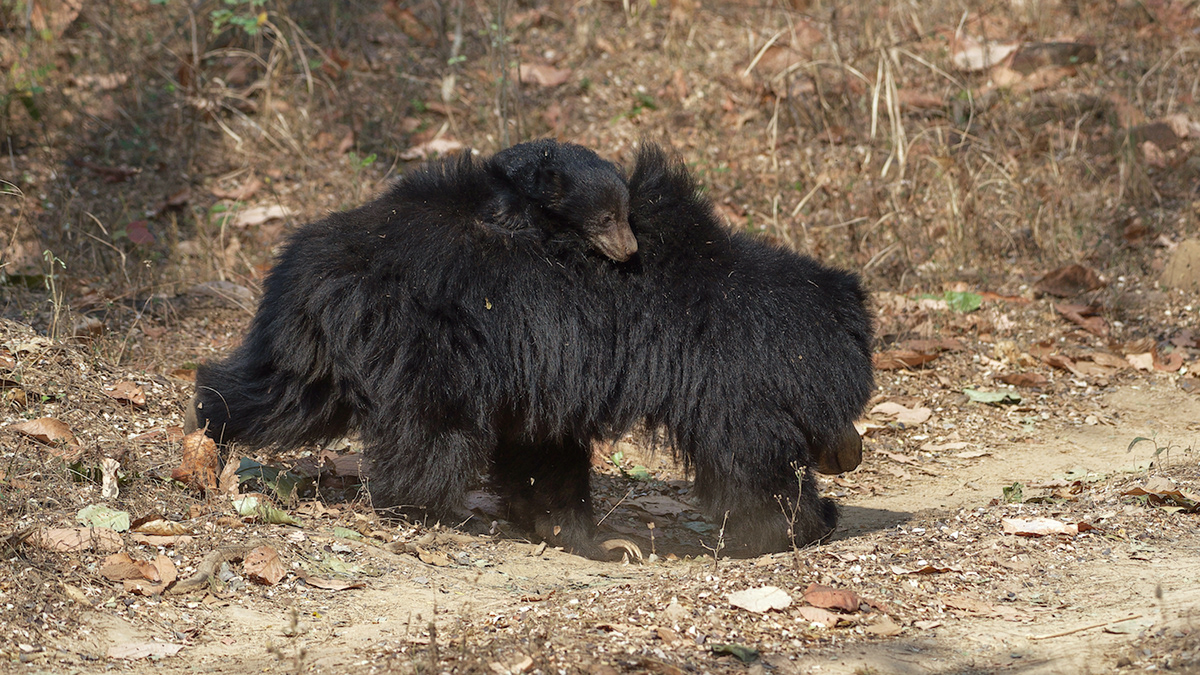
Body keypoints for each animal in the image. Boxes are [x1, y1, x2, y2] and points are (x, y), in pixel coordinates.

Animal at [187, 138, 868, 557]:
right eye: (853, 404)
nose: (852, 455)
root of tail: (314, 257)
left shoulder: (552, 363)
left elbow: (543, 448)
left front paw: (574, 531)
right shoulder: (723, 380)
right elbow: (753, 464)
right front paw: (808, 522)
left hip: (315, 345)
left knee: (278, 392)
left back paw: (209, 427)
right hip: (428, 342)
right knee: (433, 429)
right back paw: (431, 509)